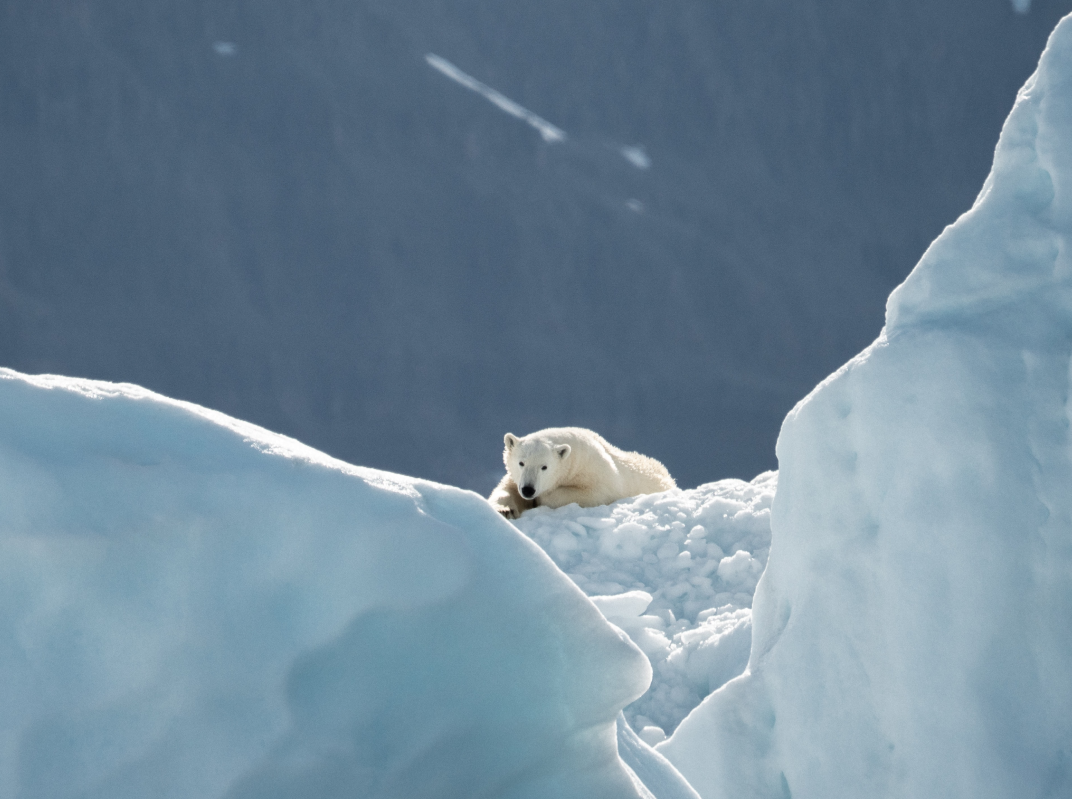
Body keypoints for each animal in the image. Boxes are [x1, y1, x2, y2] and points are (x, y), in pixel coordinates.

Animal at [488, 427, 676, 519]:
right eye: (521, 463)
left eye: (544, 467)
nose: (528, 490)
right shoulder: (516, 478)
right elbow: (506, 489)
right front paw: (505, 510)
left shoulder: (596, 471)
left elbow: (595, 493)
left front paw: (541, 499)